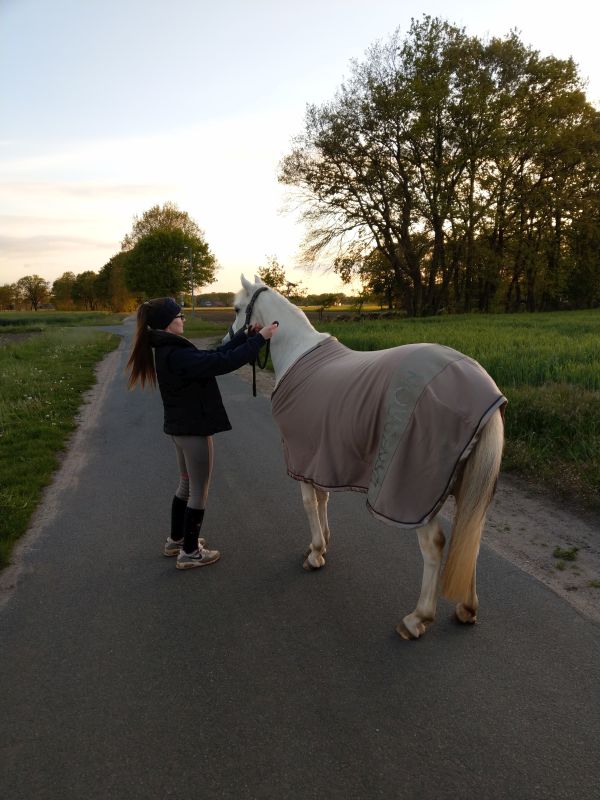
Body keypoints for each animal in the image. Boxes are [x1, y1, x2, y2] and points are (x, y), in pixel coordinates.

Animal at [226, 275, 506, 640]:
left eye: (236, 309)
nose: (227, 340)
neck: (298, 352)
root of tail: (480, 386)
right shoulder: (320, 457)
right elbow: (323, 499)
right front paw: (322, 545)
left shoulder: (301, 456)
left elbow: (309, 503)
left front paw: (315, 554)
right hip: (465, 486)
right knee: (470, 535)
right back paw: (467, 609)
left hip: (413, 495)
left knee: (435, 544)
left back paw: (416, 619)